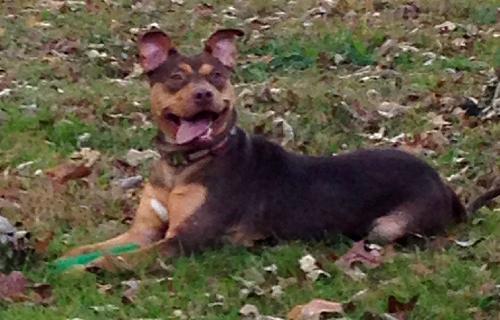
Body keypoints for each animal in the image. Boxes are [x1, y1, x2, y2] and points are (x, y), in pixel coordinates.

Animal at [64, 29, 498, 270]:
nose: (204, 94)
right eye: (175, 78)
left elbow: (125, 258)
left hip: (387, 228)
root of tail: (446, 187)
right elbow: (87, 246)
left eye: (217, 76)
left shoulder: (186, 240)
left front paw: (95, 268)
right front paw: (58, 261)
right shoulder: (141, 230)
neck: (183, 165)